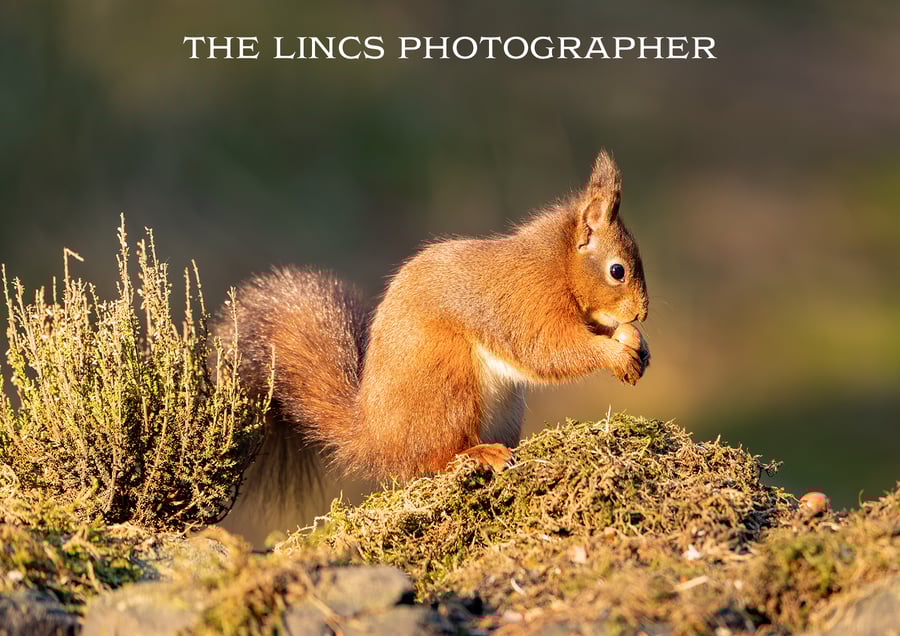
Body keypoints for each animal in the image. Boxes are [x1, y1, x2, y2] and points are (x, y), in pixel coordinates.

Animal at [215, 151, 649, 481]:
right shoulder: (526, 302)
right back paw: (479, 454)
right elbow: (550, 350)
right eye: (617, 271)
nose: (643, 313)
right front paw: (614, 353)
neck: (557, 265)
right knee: (434, 459)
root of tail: (375, 439)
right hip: (448, 385)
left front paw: (636, 345)